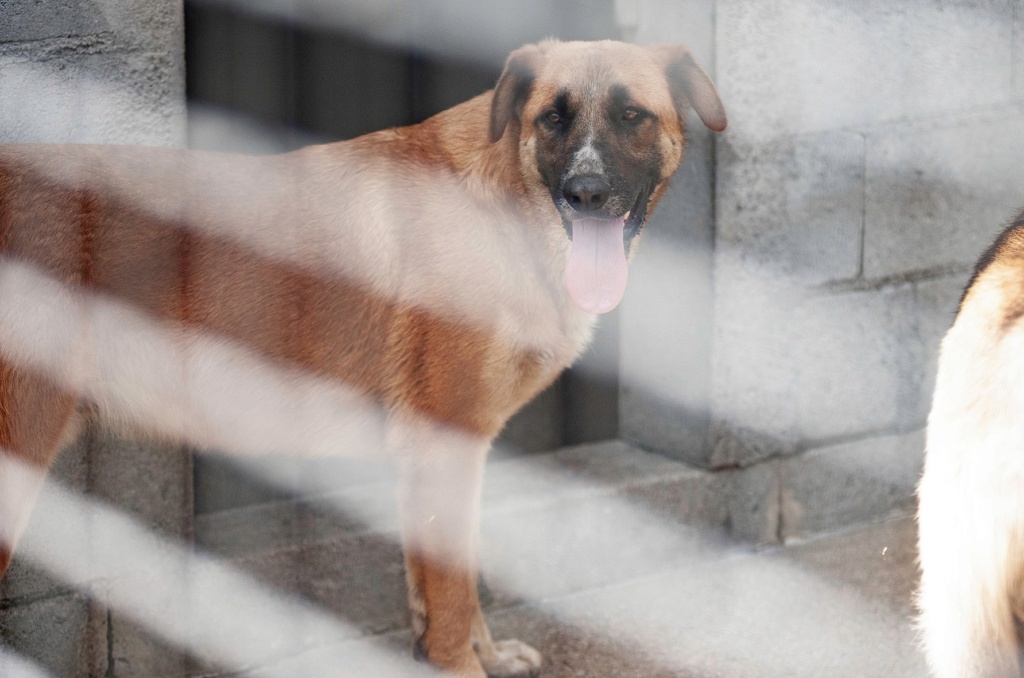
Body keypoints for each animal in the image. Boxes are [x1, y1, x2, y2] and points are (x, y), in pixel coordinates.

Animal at [0, 39, 729, 675]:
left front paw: (481, 656)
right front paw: (464, 667)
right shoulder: (445, 445)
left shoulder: (445, 456)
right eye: (553, 117)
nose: (586, 193)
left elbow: (451, 583)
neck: (507, 207)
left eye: (632, 116)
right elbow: (452, 598)